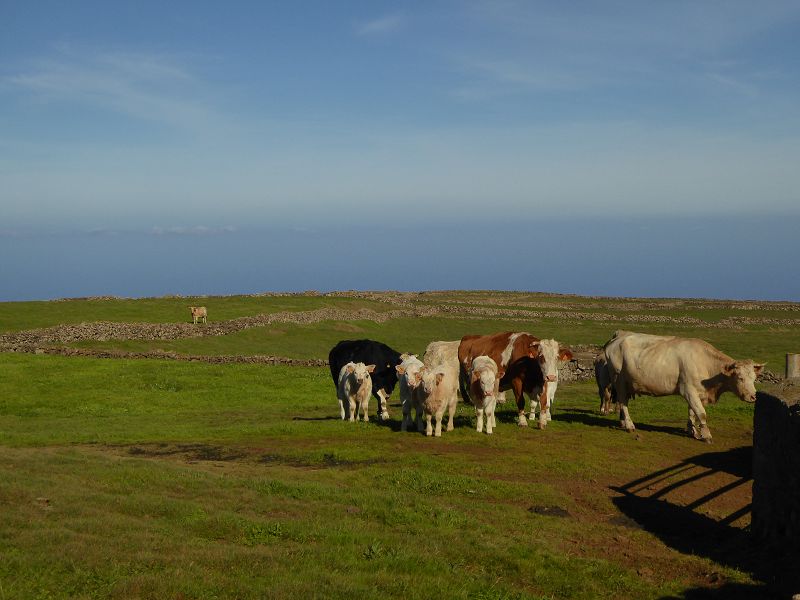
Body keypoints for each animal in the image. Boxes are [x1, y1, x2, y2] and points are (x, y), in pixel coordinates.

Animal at [603, 330, 765, 443]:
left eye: (754, 378)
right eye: (740, 378)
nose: (753, 396)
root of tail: (618, 337)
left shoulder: (697, 392)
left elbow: (692, 412)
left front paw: (692, 430)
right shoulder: (688, 390)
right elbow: (701, 413)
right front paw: (706, 435)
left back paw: (622, 422)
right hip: (619, 379)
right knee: (623, 402)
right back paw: (629, 425)